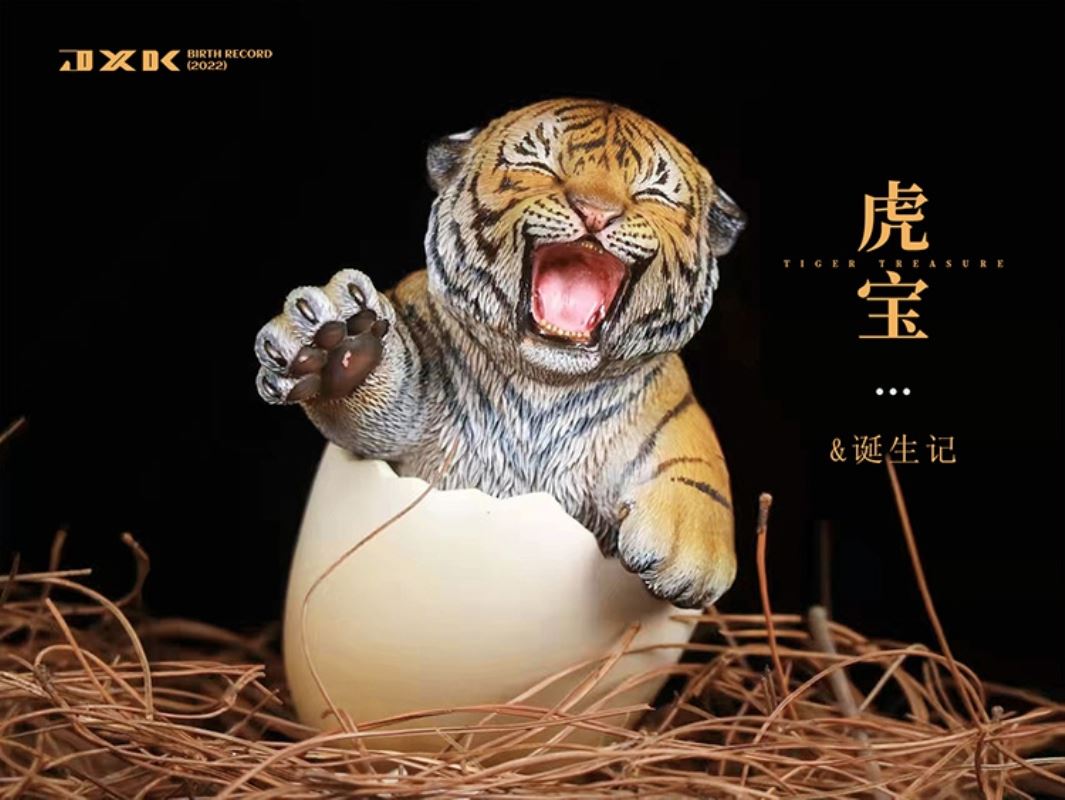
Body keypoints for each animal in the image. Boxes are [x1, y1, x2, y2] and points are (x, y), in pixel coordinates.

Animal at [254, 99, 746, 608]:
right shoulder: (405, 419)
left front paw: (691, 552)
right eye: (539, 163)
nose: (596, 212)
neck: (547, 384)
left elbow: (699, 468)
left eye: (651, 191)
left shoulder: (673, 411)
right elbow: (374, 410)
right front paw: (337, 347)